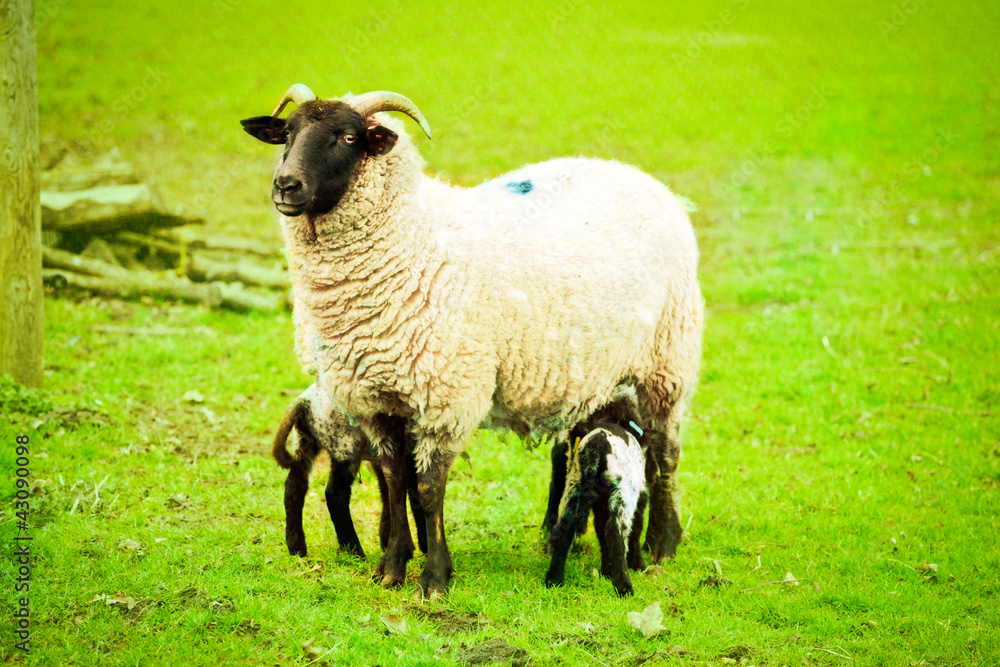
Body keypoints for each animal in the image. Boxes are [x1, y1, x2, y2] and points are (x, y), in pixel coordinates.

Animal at [273, 383, 426, 560]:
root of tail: (305, 401)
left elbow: (389, 493)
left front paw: (387, 541)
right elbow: (417, 496)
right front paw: (424, 545)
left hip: (305, 441)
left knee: (294, 486)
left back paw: (297, 547)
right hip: (344, 445)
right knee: (335, 494)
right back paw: (354, 550)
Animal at [544, 388, 648, 597]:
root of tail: (598, 444)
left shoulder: (600, 504)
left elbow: (600, 532)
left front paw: (606, 571)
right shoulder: (639, 495)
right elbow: (636, 529)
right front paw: (638, 565)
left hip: (575, 484)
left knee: (566, 527)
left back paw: (554, 579)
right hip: (623, 491)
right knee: (616, 531)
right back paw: (624, 587)